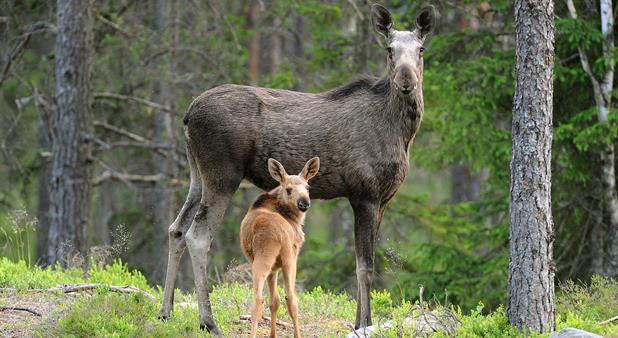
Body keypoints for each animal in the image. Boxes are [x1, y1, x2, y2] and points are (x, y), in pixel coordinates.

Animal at [239, 158, 320, 338]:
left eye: (308, 188)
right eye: (289, 189)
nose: (304, 203)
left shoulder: (273, 268)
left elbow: (274, 302)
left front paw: (273, 335)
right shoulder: (293, 256)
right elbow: (283, 299)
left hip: (262, 262)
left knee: (258, 299)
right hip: (286, 260)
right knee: (291, 298)